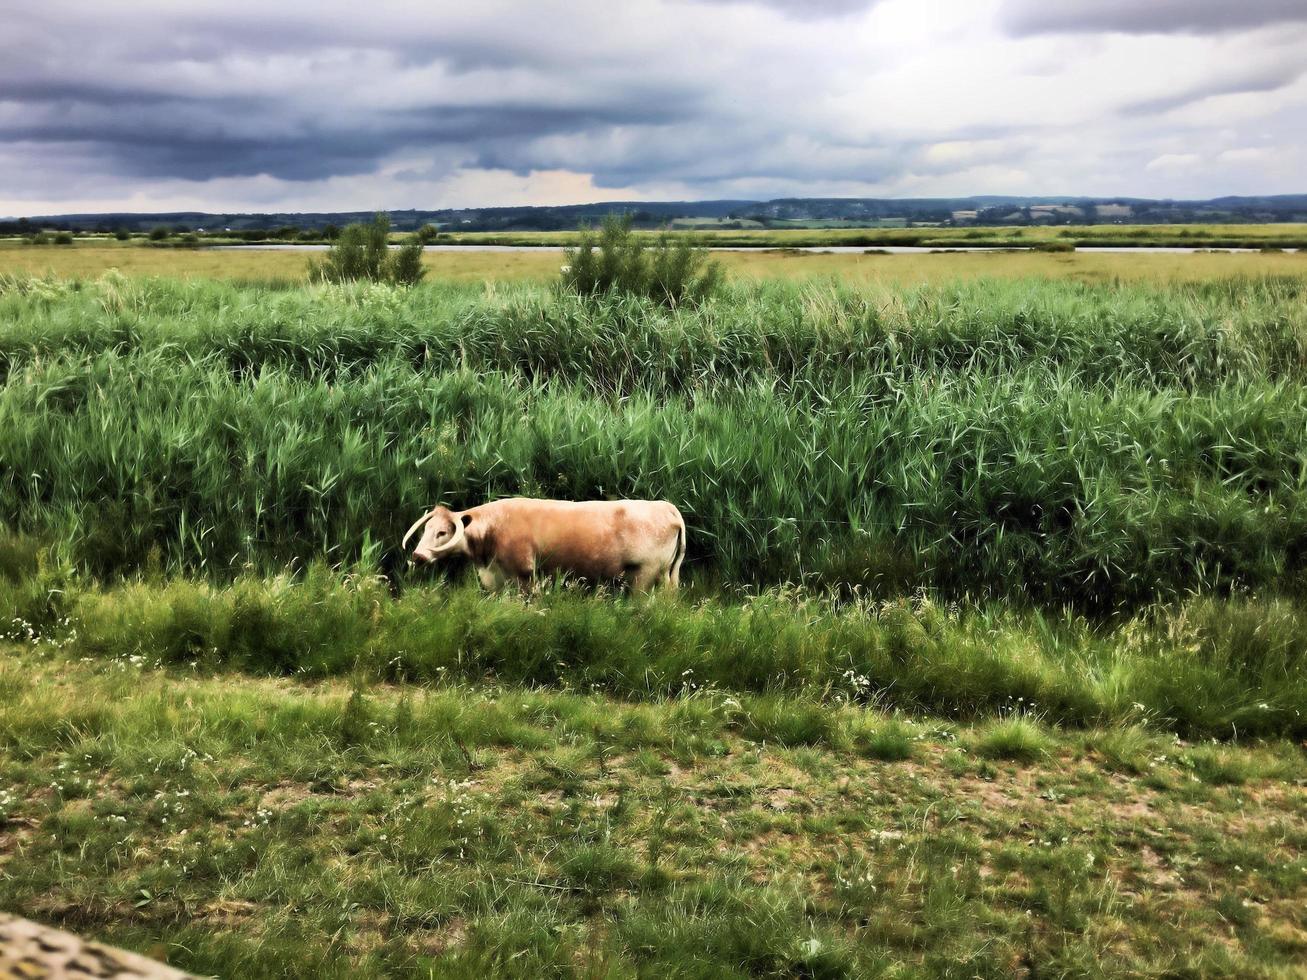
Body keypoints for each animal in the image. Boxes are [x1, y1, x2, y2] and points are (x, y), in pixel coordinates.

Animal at [402, 499, 690, 590]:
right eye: (426, 530)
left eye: (442, 532)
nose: (417, 556)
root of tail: (665, 505)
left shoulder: (525, 575)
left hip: (644, 574)